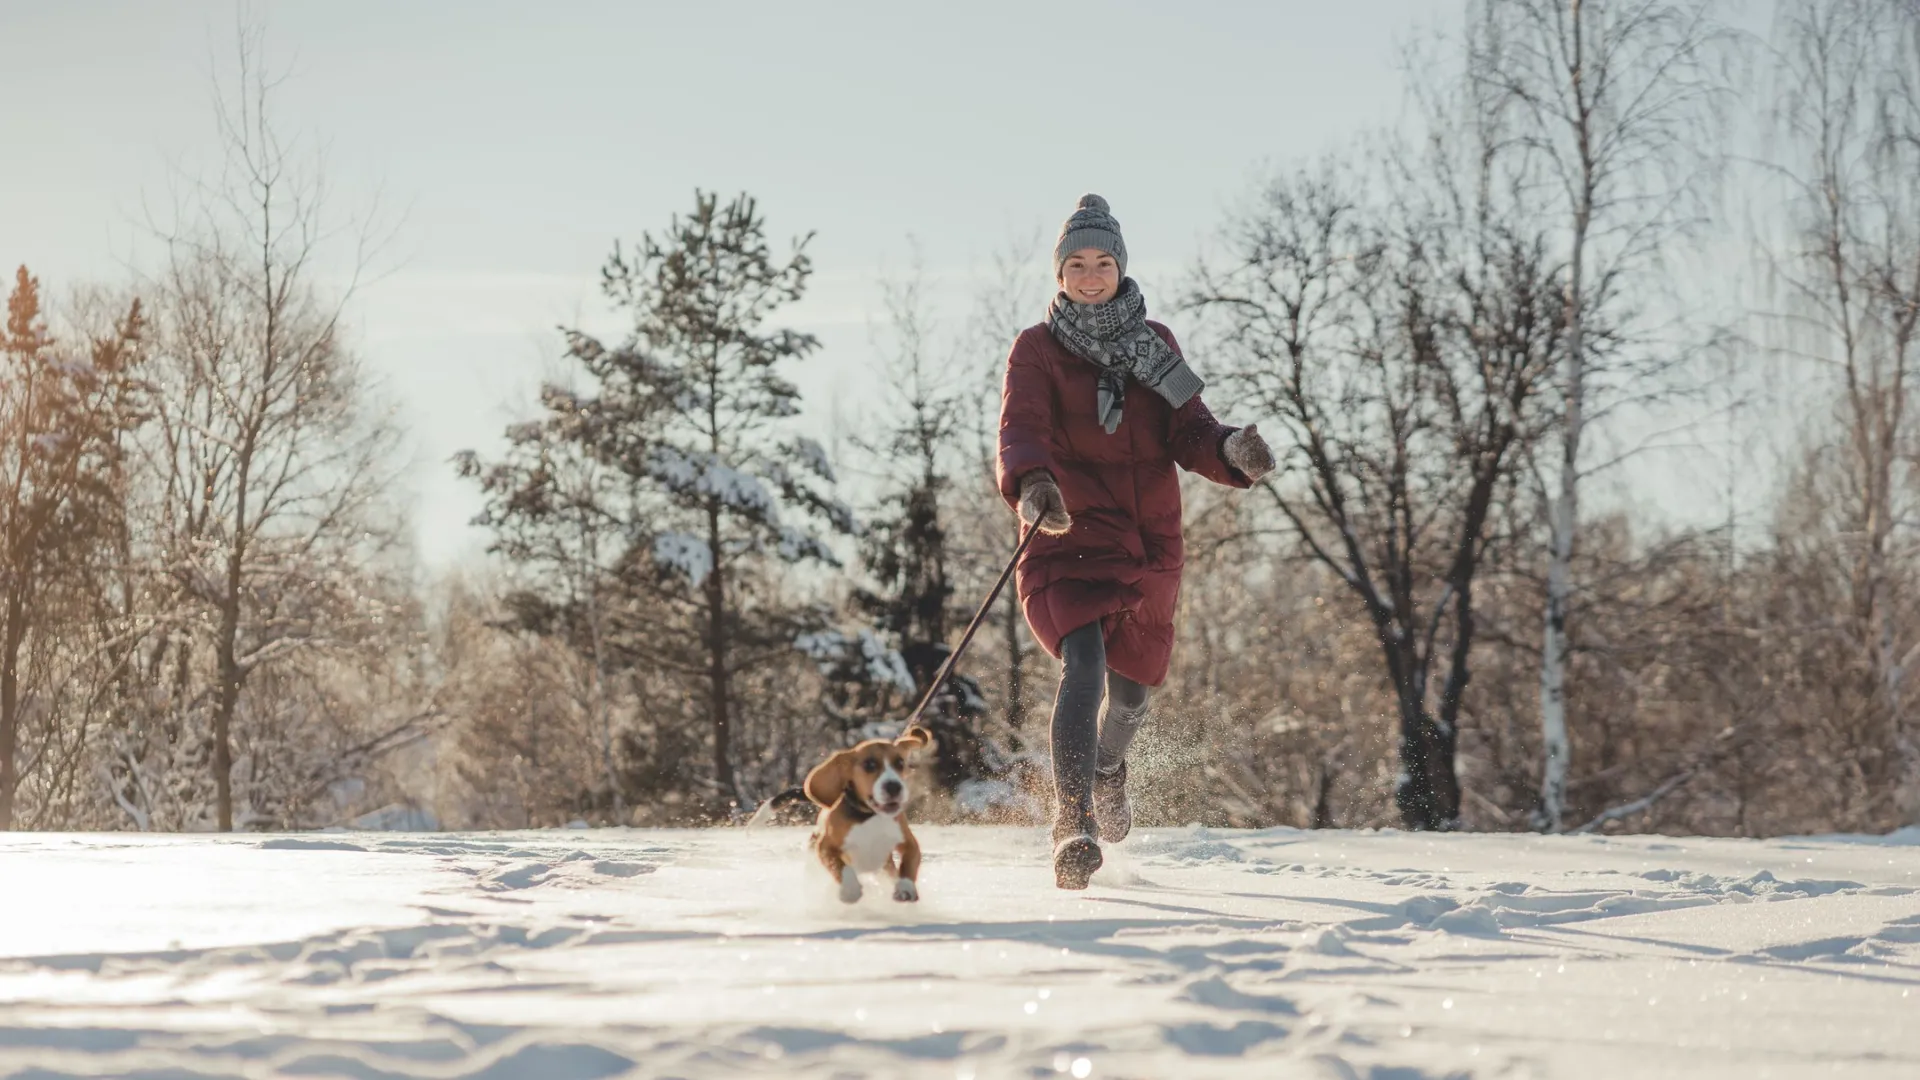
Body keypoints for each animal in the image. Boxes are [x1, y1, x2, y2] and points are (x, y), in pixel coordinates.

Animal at [806, 722, 933, 899]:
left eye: (900, 763)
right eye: (869, 765)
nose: (893, 786)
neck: (869, 817)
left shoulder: (908, 843)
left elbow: (909, 865)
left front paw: (905, 888)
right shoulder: (826, 847)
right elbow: (841, 868)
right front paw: (851, 889)